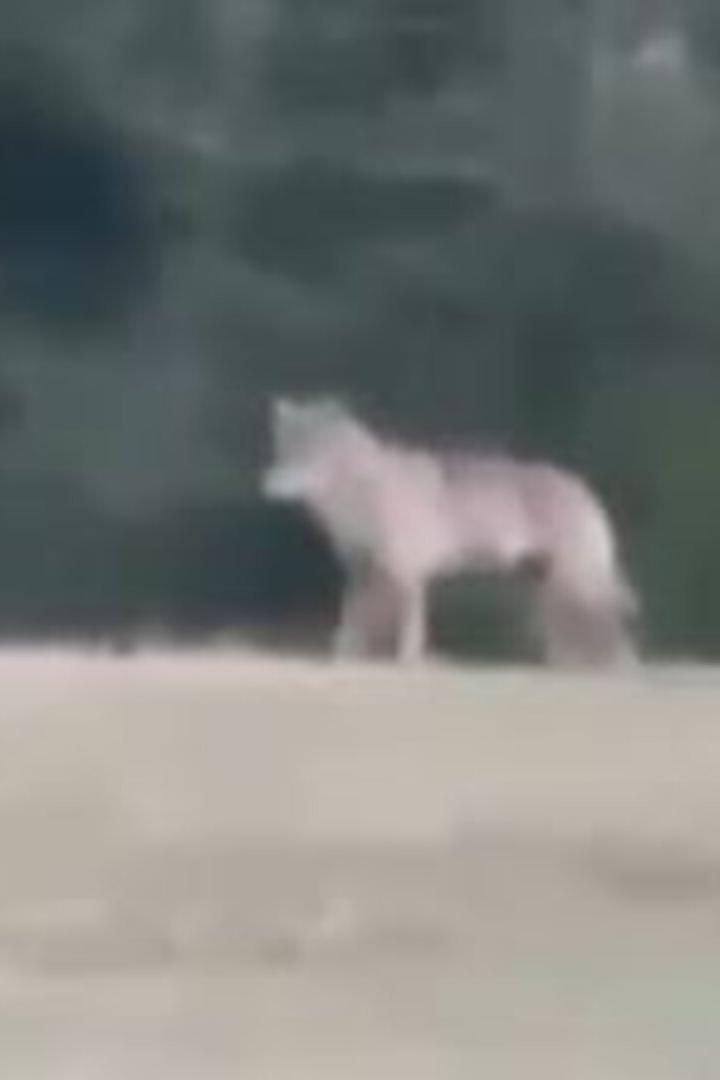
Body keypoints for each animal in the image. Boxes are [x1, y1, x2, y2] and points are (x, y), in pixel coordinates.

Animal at [261, 396, 639, 667]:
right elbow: (352, 619)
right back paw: (566, 665)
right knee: (572, 630)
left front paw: (409, 662)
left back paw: (615, 668)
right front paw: (344, 655)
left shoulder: (406, 573)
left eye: (308, 455)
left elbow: (409, 626)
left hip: (573, 583)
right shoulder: (362, 572)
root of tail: (582, 487)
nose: (268, 484)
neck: (356, 492)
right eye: (283, 451)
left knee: (607, 623)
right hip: (546, 586)